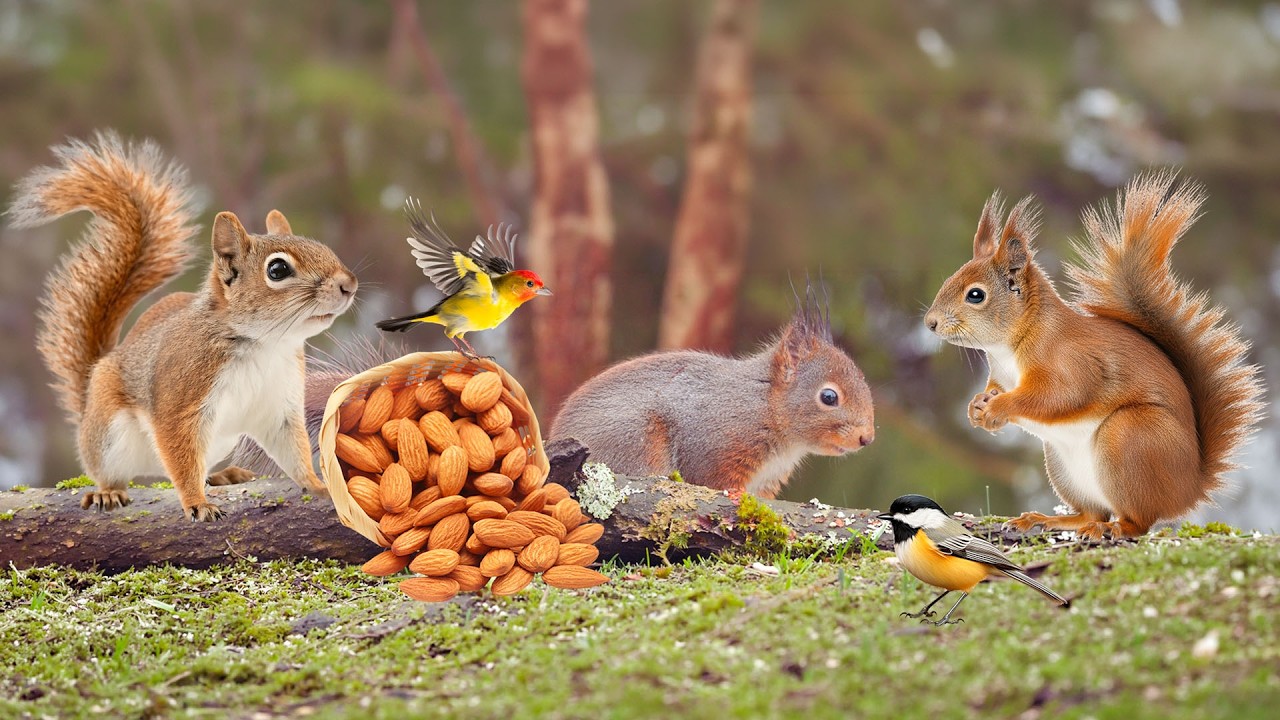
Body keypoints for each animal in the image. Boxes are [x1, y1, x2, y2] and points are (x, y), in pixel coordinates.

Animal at [8, 131, 358, 521]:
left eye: (321, 246)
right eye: (278, 270)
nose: (349, 284)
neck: (263, 344)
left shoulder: (280, 407)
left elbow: (293, 451)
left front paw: (318, 484)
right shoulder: (181, 396)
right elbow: (180, 452)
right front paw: (197, 503)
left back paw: (223, 475)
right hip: (109, 434)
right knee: (119, 470)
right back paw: (109, 492)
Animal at [550, 285, 875, 498]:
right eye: (829, 397)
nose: (867, 438)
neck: (764, 406)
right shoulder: (716, 445)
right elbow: (712, 479)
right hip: (634, 443)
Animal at [924, 171, 1264, 539]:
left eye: (976, 295)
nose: (930, 323)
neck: (1011, 347)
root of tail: (1189, 488)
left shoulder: (1071, 361)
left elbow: (1061, 395)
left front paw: (999, 408)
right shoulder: (1000, 375)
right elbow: (995, 389)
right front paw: (977, 407)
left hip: (1129, 437)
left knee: (1138, 520)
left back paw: (1114, 528)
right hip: (1062, 465)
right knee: (1092, 511)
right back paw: (1047, 520)